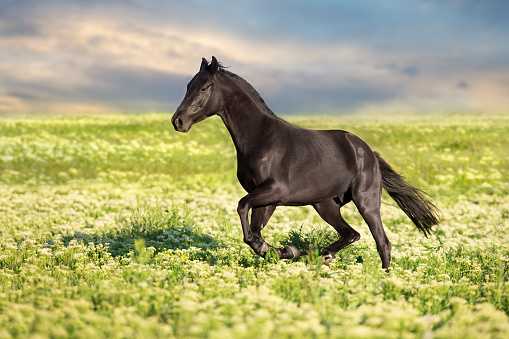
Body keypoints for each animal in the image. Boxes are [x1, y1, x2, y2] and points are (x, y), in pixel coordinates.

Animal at [172, 56, 440, 270]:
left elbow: (242, 209)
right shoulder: (267, 199)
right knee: (352, 234)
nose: (178, 121)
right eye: (188, 86)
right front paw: (284, 251)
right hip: (325, 205)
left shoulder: (275, 190)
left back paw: (381, 277)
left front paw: (281, 250)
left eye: (205, 87)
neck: (261, 137)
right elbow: (253, 231)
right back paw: (324, 255)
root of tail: (367, 151)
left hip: (366, 202)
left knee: (382, 242)